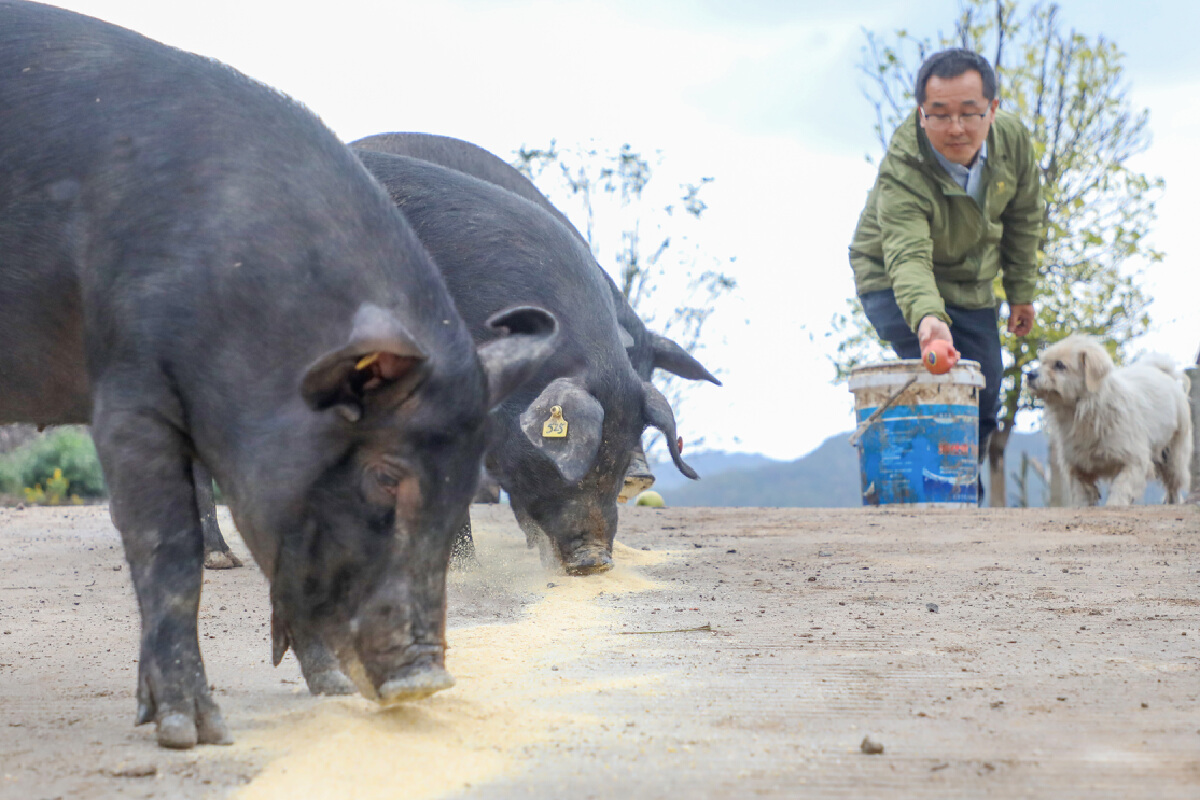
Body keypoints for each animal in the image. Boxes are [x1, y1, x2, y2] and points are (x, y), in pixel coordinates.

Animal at [1032, 335, 1190, 503]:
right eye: (1042, 363)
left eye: (1059, 365)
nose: (1029, 374)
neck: (1081, 413)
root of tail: (1162, 373)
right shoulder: (1077, 465)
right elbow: (1082, 492)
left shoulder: (1134, 460)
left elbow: (1121, 487)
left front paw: (1115, 502)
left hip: (1173, 456)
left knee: (1174, 484)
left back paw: (1172, 501)